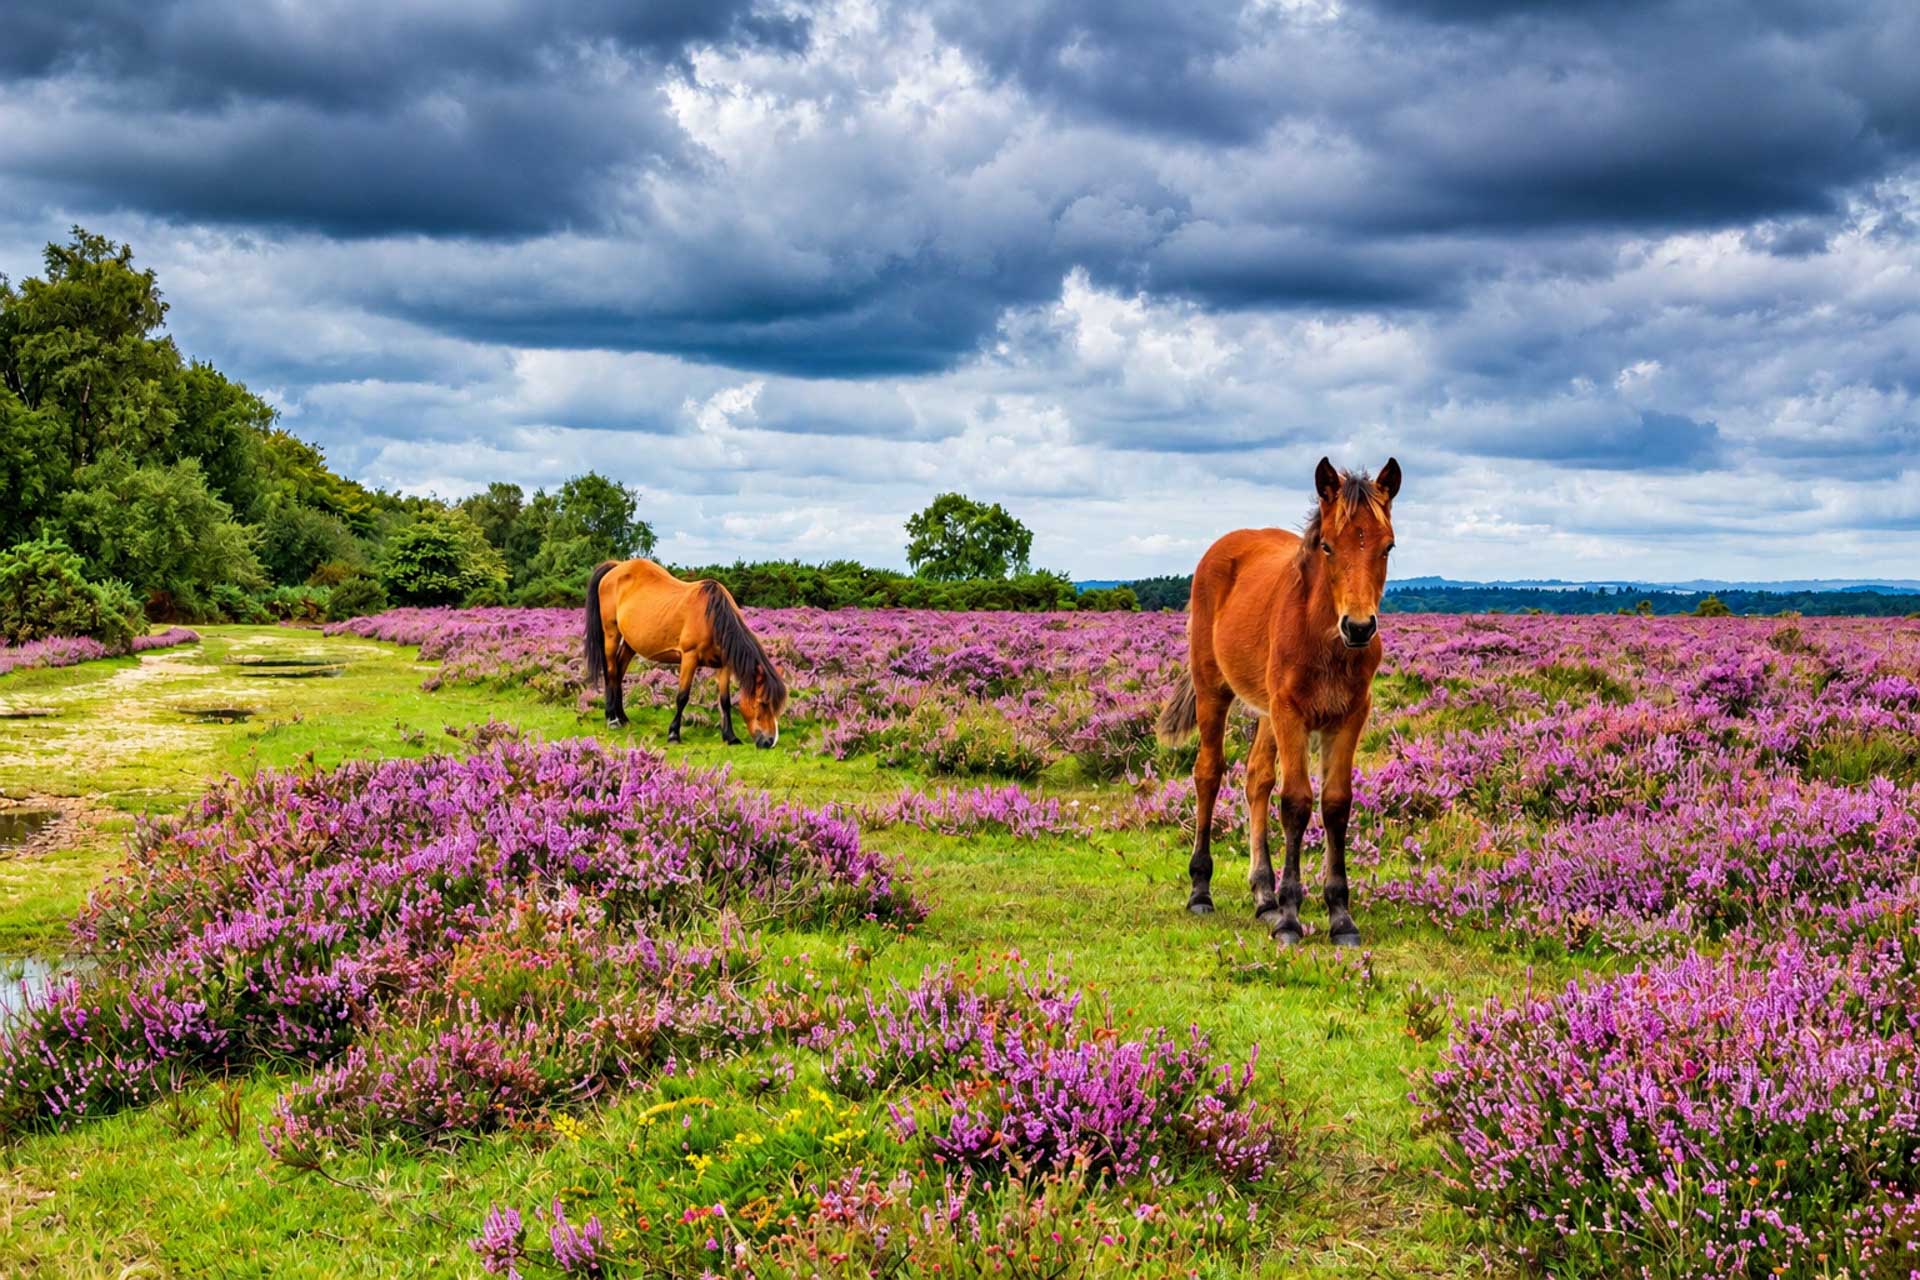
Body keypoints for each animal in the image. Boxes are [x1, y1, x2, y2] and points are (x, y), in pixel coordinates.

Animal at [582, 559, 789, 748]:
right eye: (762, 703)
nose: (770, 742)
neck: (713, 618)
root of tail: (617, 566)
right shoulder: (689, 657)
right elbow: (682, 697)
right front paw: (674, 734)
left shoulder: (724, 665)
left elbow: (725, 701)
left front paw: (730, 737)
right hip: (611, 633)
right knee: (611, 671)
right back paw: (612, 719)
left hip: (631, 642)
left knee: (619, 672)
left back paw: (623, 717)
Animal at [1156, 457, 1401, 946]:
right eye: (1327, 546)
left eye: (1387, 546)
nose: (1359, 627)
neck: (1323, 639)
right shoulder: (1292, 714)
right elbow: (1296, 803)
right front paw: (1290, 917)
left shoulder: (1348, 717)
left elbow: (1335, 803)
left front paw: (1339, 916)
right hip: (1215, 691)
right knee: (1209, 773)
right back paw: (1201, 890)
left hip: (1267, 711)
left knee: (1256, 778)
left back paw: (1263, 894)